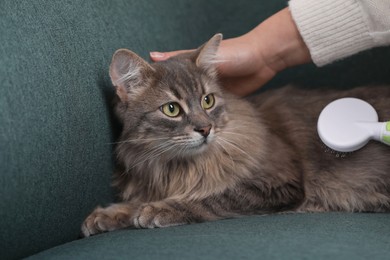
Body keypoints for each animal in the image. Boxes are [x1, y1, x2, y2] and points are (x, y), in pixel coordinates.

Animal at [81, 33, 390, 237]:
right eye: (171, 109)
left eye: (207, 101)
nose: (205, 129)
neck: (177, 166)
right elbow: (133, 203)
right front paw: (110, 215)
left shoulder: (276, 183)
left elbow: (210, 197)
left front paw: (158, 209)